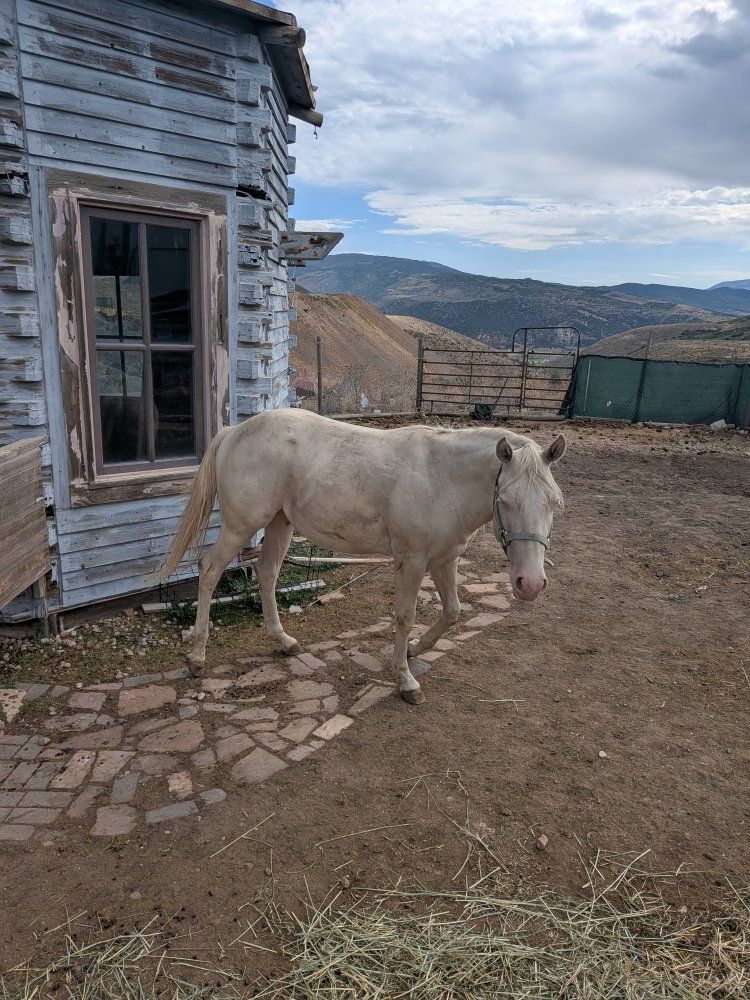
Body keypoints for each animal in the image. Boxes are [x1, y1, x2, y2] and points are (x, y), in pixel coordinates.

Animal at [160, 409, 566, 704]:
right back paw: (197, 658)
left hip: (279, 524)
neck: (442, 477)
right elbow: (405, 617)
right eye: (505, 500)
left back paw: (284, 641)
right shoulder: (412, 561)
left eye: (554, 503)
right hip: (241, 525)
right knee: (210, 571)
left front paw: (416, 649)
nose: (530, 584)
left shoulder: (445, 559)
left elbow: (452, 611)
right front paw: (405, 680)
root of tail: (234, 431)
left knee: (267, 572)